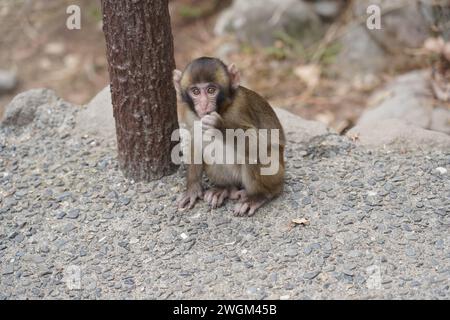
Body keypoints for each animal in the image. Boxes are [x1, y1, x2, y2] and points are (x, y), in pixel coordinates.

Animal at [172, 57, 284, 218]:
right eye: (195, 92)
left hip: (277, 174)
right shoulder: (189, 114)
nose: (204, 105)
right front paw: (192, 188)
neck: (223, 108)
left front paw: (219, 125)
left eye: (211, 90)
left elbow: (258, 143)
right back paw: (224, 188)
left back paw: (259, 196)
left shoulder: (240, 107)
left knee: (254, 155)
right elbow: (195, 144)